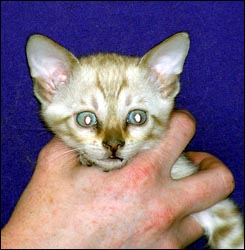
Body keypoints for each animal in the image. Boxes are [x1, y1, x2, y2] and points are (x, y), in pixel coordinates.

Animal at [25, 32, 244, 248]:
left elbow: (234, 240)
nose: (113, 145)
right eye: (86, 119)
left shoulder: (214, 203)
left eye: (137, 117)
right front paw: (84, 157)